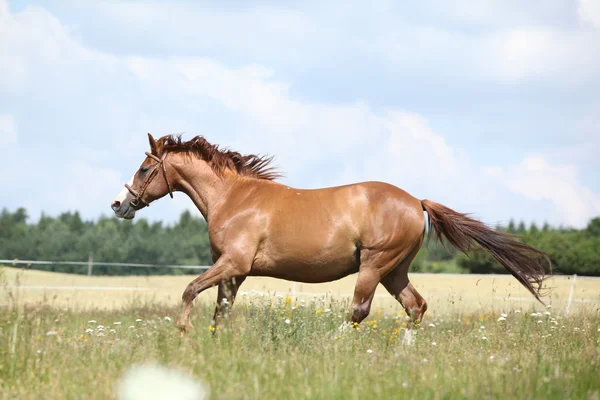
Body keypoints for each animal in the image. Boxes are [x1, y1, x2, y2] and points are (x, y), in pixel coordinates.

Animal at [110, 134, 552, 338]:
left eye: (145, 169)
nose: (119, 204)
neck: (234, 198)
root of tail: (416, 202)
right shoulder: (234, 272)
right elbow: (222, 310)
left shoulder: (233, 263)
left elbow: (189, 290)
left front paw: (183, 331)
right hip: (395, 271)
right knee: (416, 307)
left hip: (374, 266)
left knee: (359, 311)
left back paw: (335, 342)